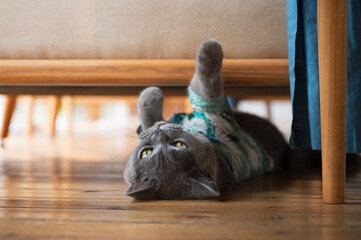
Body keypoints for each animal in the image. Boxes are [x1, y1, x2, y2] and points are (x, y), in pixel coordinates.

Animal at [122, 39, 288, 201]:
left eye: (180, 144)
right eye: (146, 153)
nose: (158, 132)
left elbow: (148, 122)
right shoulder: (214, 110)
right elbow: (207, 85)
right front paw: (210, 48)